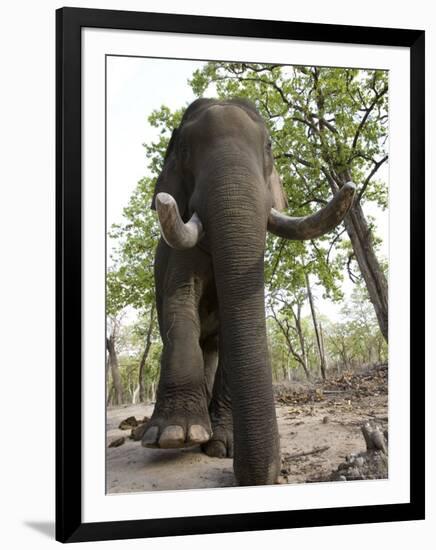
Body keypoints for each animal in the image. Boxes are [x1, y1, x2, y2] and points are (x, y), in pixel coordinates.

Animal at [141, 99, 356, 488]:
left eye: (269, 146)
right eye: (185, 150)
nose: (250, 473)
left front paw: (222, 446)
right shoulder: (174, 257)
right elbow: (180, 303)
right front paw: (175, 436)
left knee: (211, 348)